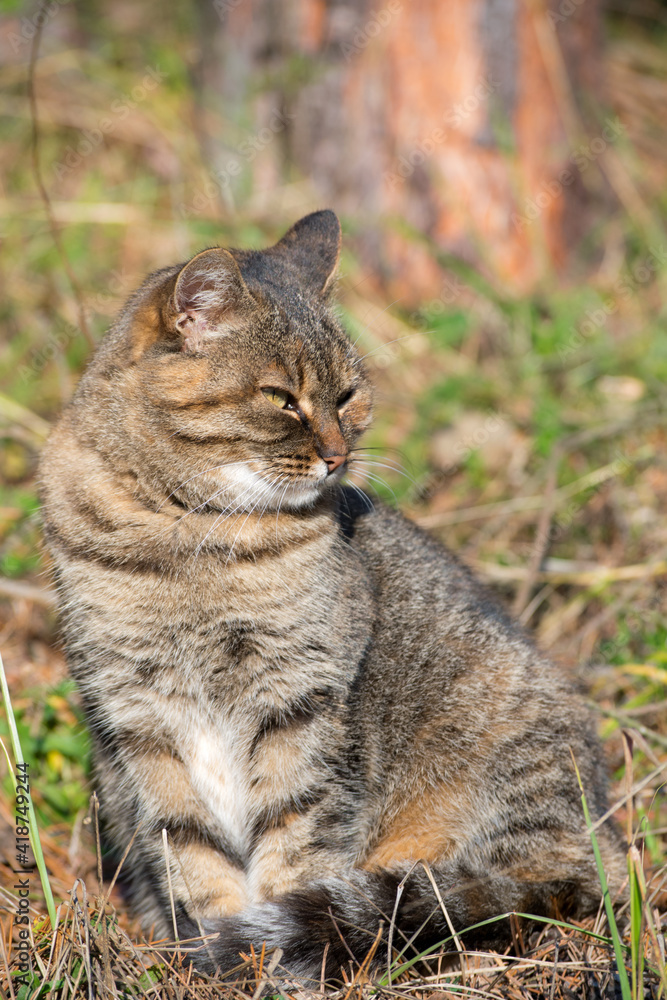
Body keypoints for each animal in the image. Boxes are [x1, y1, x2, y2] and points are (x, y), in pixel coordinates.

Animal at [40, 211, 628, 984]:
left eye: (346, 396)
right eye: (281, 399)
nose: (337, 455)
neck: (188, 538)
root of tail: (600, 845)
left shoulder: (303, 699)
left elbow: (296, 841)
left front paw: (263, 960)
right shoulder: (138, 719)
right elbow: (189, 849)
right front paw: (217, 953)